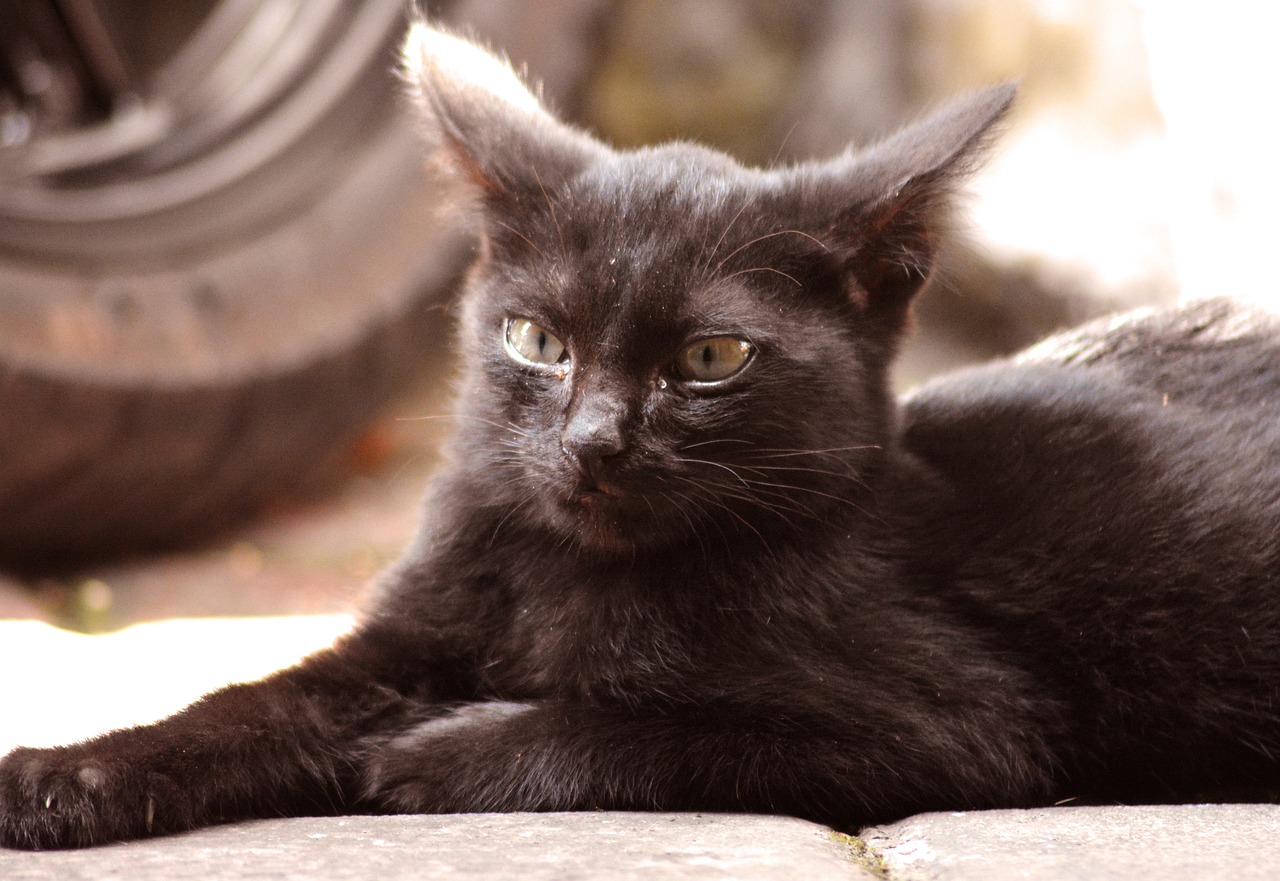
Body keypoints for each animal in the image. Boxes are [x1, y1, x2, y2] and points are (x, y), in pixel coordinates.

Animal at [2, 20, 1280, 845]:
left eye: (710, 360)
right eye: (536, 341)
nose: (592, 441)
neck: (572, 577)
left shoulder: (956, 726)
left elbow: (642, 726)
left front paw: (429, 750)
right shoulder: (407, 631)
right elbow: (250, 698)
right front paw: (65, 770)